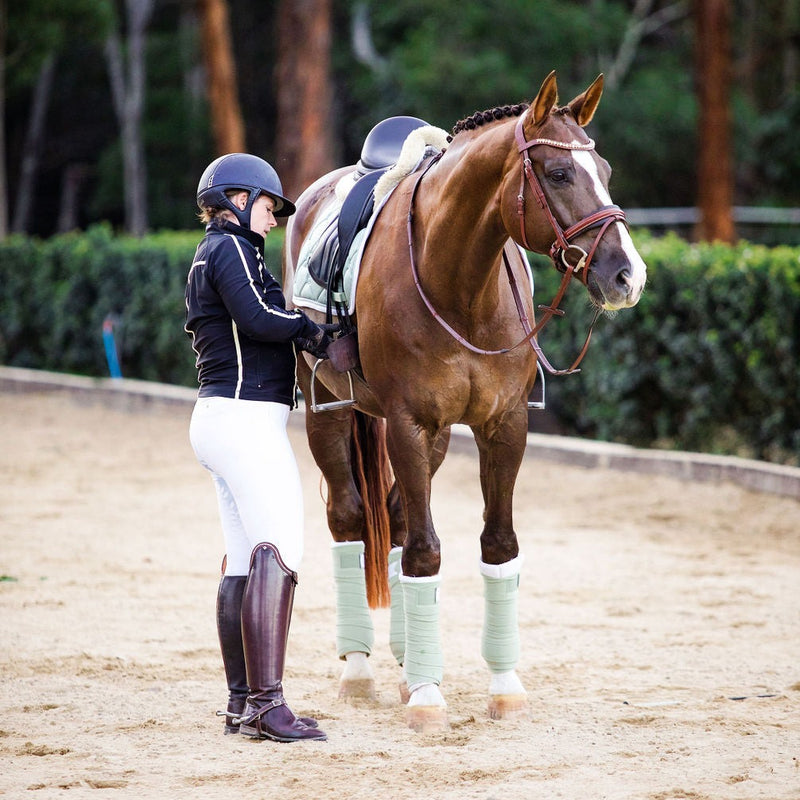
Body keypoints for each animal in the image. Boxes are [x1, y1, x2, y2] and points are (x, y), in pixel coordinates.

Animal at [284, 73, 648, 732]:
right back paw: (361, 670)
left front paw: (501, 685)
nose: (627, 275)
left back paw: (408, 663)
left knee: (397, 518)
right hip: (331, 410)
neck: (460, 284)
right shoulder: (406, 422)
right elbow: (425, 553)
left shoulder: (501, 425)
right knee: (351, 519)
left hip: (434, 439)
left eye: (604, 169)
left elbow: (497, 546)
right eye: (559, 173)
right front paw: (429, 699)